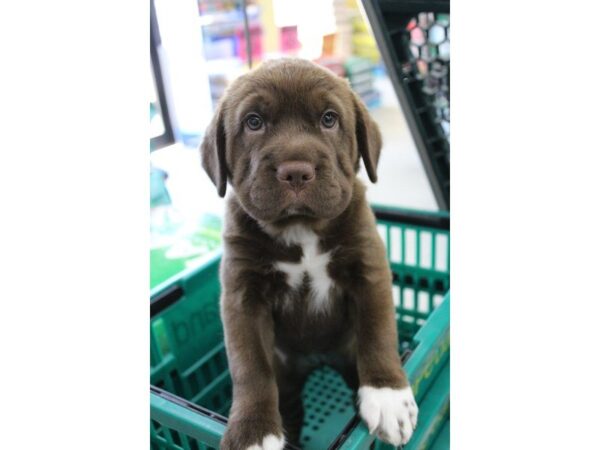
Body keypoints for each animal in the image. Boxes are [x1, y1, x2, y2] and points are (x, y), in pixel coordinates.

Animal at [202, 59, 418, 450]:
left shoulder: (370, 271)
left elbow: (379, 332)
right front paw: (253, 432)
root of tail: (317, 360)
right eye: (253, 122)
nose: (296, 171)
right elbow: (249, 365)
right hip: (287, 379)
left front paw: (388, 396)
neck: (300, 228)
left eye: (329, 119)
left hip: (347, 356)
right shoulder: (242, 296)